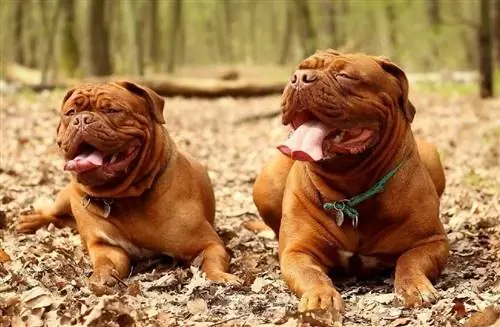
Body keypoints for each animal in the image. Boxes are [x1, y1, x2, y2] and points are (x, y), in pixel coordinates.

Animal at [16, 80, 239, 290]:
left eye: (112, 110)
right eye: (70, 113)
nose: (81, 119)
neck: (124, 197)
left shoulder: (210, 243)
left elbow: (210, 262)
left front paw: (220, 277)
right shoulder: (106, 247)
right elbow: (105, 263)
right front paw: (101, 276)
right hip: (66, 198)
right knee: (52, 213)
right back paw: (29, 221)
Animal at [254, 50, 450, 314]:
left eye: (346, 76)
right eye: (299, 70)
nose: (299, 78)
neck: (350, 189)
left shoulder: (431, 241)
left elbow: (410, 260)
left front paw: (414, 286)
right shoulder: (298, 252)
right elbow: (312, 275)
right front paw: (320, 296)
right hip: (266, 183)